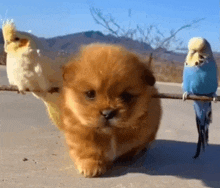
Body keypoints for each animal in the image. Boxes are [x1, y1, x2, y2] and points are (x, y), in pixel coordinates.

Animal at [60, 43, 162, 177]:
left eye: (126, 96)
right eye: (90, 94)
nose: (108, 113)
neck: (111, 134)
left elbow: (136, 145)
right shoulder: (78, 129)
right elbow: (86, 148)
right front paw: (91, 165)